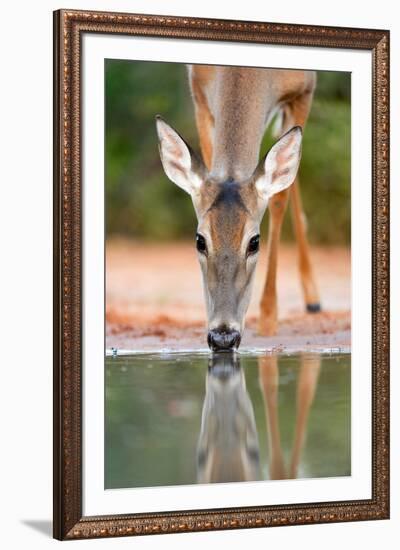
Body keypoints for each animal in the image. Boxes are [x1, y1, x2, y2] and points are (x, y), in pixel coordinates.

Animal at [155, 64, 320, 354]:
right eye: (199, 240)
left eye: (255, 242)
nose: (223, 337)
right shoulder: (199, 91)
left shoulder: (304, 90)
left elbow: (279, 198)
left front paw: (268, 318)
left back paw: (312, 298)